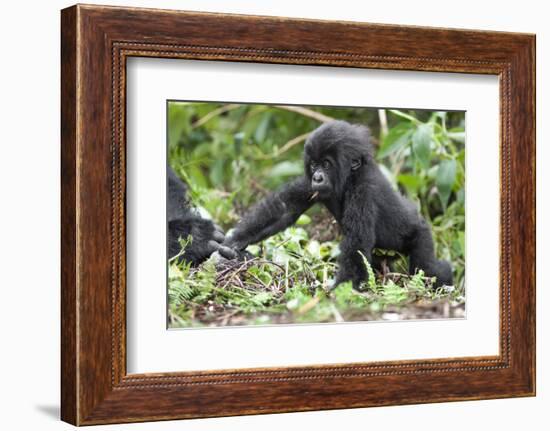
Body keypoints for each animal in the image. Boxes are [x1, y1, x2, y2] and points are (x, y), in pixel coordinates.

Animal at [226, 121, 454, 290]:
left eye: (326, 164)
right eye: (314, 164)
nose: (317, 177)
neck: (350, 176)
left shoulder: (363, 191)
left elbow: (356, 244)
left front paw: (336, 292)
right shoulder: (310, 186)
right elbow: (284, 209)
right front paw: (236, 240)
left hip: (421, 235)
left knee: (427, 267)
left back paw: (444, 278)